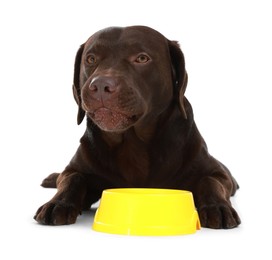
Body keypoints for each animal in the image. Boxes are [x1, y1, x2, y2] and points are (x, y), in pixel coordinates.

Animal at [33, 25, 240, 228]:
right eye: (91, 59)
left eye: (142, 58)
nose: (100, 86)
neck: (133, 143)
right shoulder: (76, 168)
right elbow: (71, 178)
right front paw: (58, 203)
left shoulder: (217, 173)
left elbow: (209, 180)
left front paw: (217, 207)